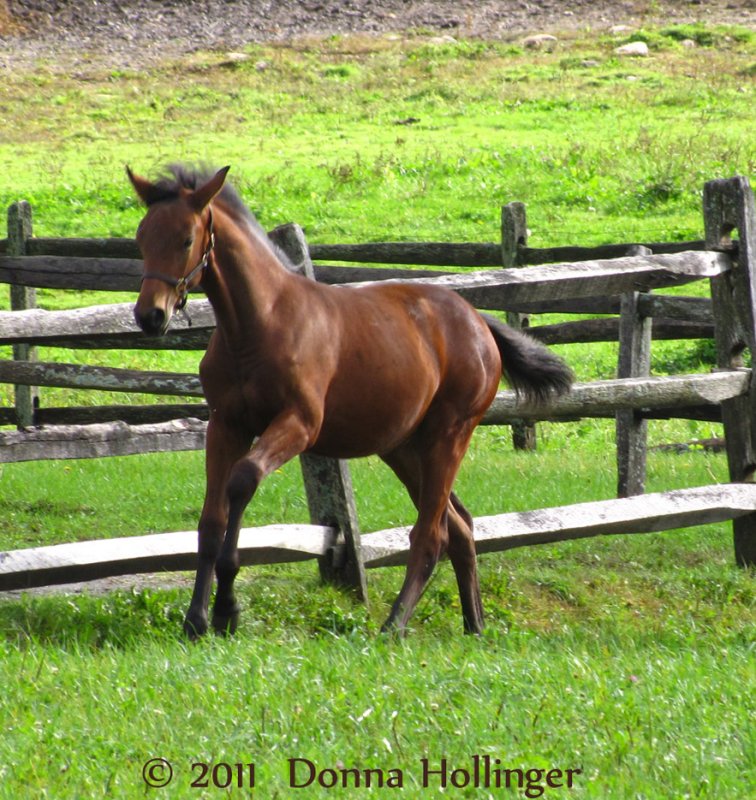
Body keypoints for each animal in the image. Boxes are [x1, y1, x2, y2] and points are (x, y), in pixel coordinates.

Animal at [127, 164, 568, 636]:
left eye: (186, 239)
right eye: (141, 237)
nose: (150, 316)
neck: (257, 324)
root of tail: (479, 322)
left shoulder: (299, 425)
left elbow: (242, 481)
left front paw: (228, 609)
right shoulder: (226, 425)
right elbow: (211, 520)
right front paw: (195, 620)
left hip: (449, 436)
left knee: (431, 535)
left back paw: (394, 626)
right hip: (404, 449)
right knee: (461, 528)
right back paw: (474, 627)